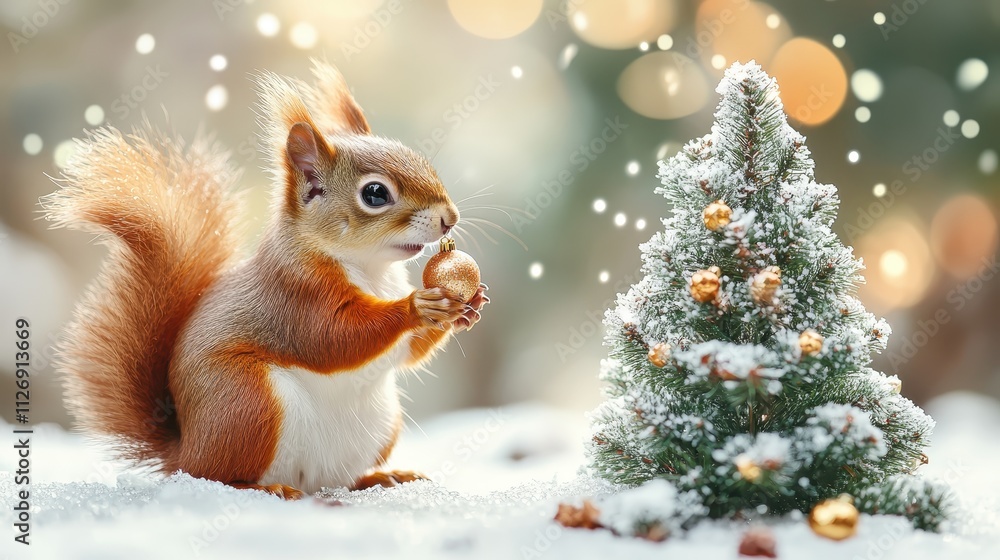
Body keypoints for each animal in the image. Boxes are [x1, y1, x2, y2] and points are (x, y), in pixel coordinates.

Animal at [42, 60, 489, 499]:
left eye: (419, 159)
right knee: (219, 475)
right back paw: (265, 488)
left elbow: (409, 352)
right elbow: (333, 338)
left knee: (338, 479)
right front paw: (416, 306)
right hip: (247, 402)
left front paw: (469, 305)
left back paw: (381, 478)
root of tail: (184, 452)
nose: (450, 217)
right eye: (375, 194)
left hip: (375, 425)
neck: (371, 269)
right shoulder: (295, 294)